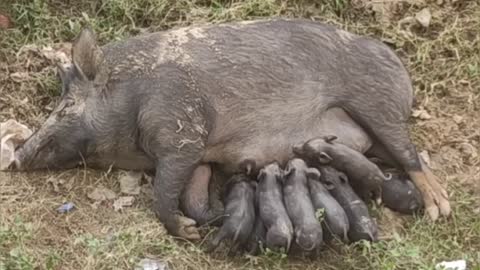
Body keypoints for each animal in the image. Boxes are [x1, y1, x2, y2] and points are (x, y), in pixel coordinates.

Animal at [14, 18, 450, 238]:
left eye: (65, 107)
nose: (16, 156)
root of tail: (398, 66)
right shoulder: (202, 156)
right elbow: (191, 195)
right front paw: (205, 221)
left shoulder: (182, 132)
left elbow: (163, 194)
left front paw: (188, 232)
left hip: (378, 106)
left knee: (414, 157)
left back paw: (438, 210)